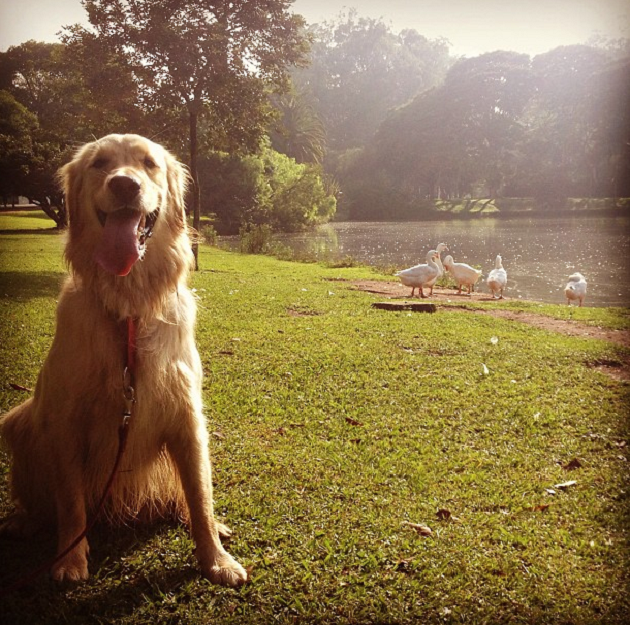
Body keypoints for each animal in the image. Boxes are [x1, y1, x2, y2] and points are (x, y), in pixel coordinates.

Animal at [1, 133, 248, 584]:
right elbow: (70, 502)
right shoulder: (64, 420)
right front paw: (71, 560)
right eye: (99, 163)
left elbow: (200, 496)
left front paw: (216, 559)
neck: (130, 305)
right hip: (19, 419)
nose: (124, 185)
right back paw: (23, 521)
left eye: (149, 163)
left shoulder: (187, 415)